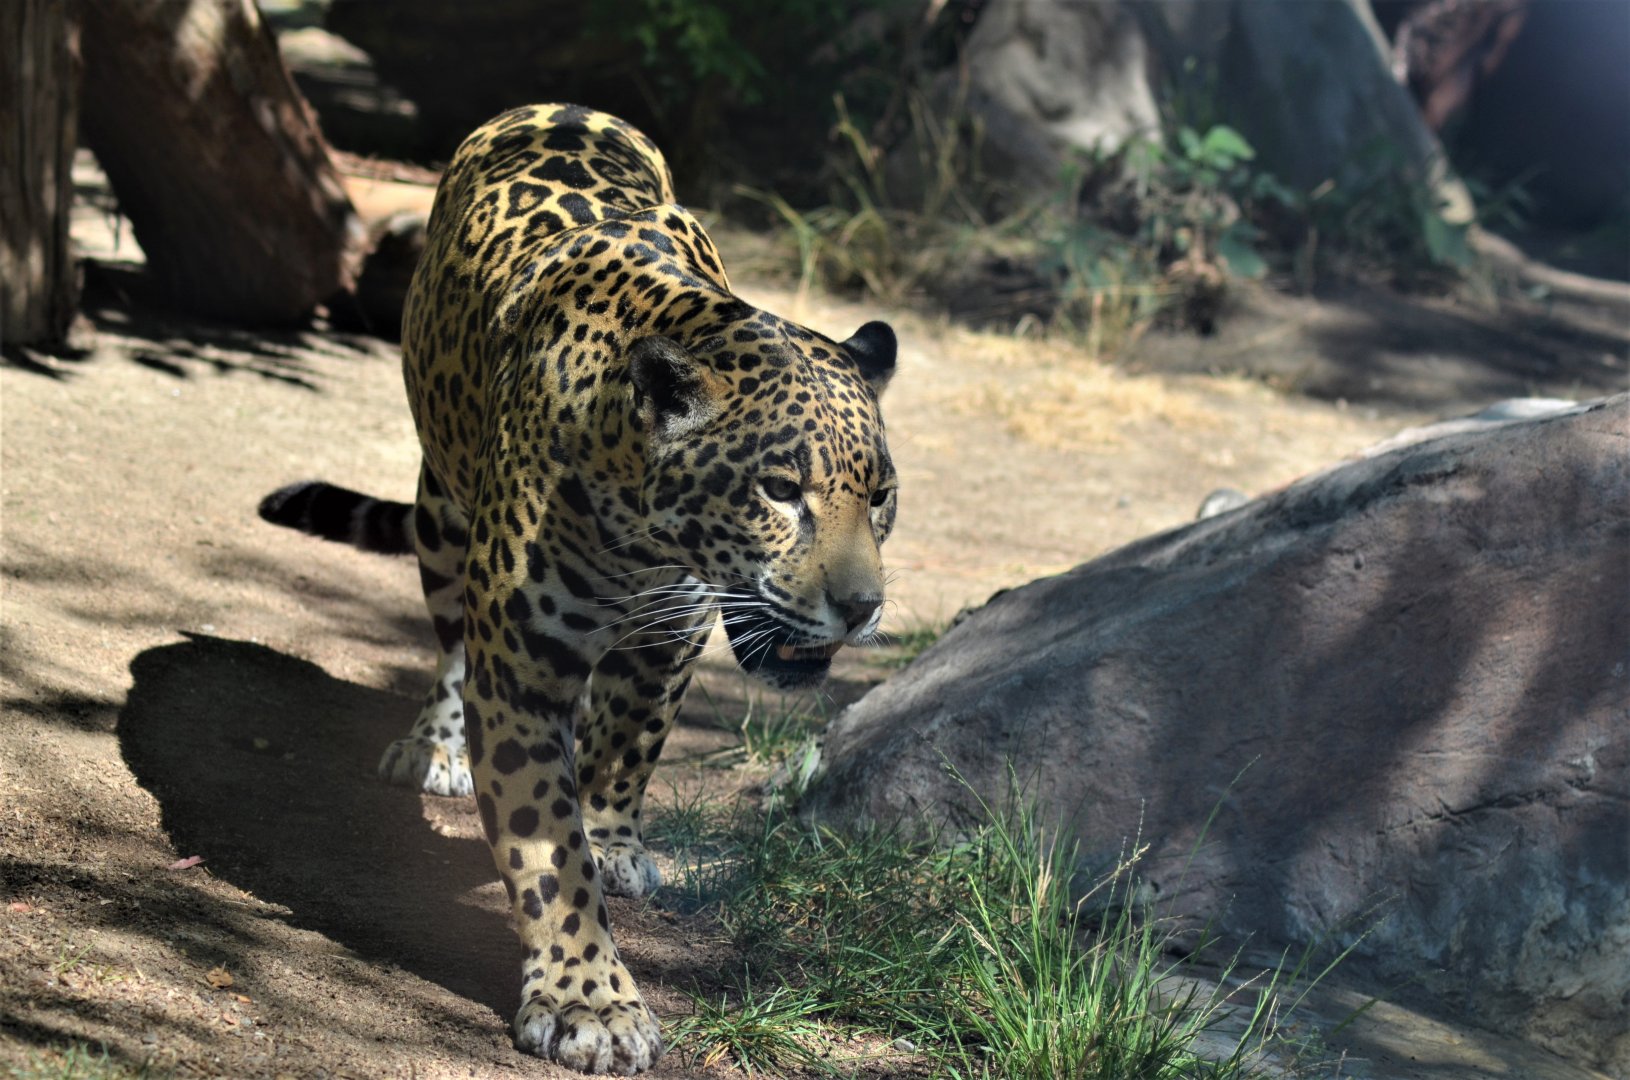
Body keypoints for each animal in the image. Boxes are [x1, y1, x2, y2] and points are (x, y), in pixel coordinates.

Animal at [258, 103, 899, 1074]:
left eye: (882, 497)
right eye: (780, 489)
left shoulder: (672, 635)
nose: (861, 608)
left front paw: (612, 838)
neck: (640, 524)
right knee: (451, 649)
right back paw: (433, 745)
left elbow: (626, 749)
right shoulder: (524, 666)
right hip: (443, 518)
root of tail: (554, 105)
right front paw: (588, 1000)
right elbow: (547, 846)